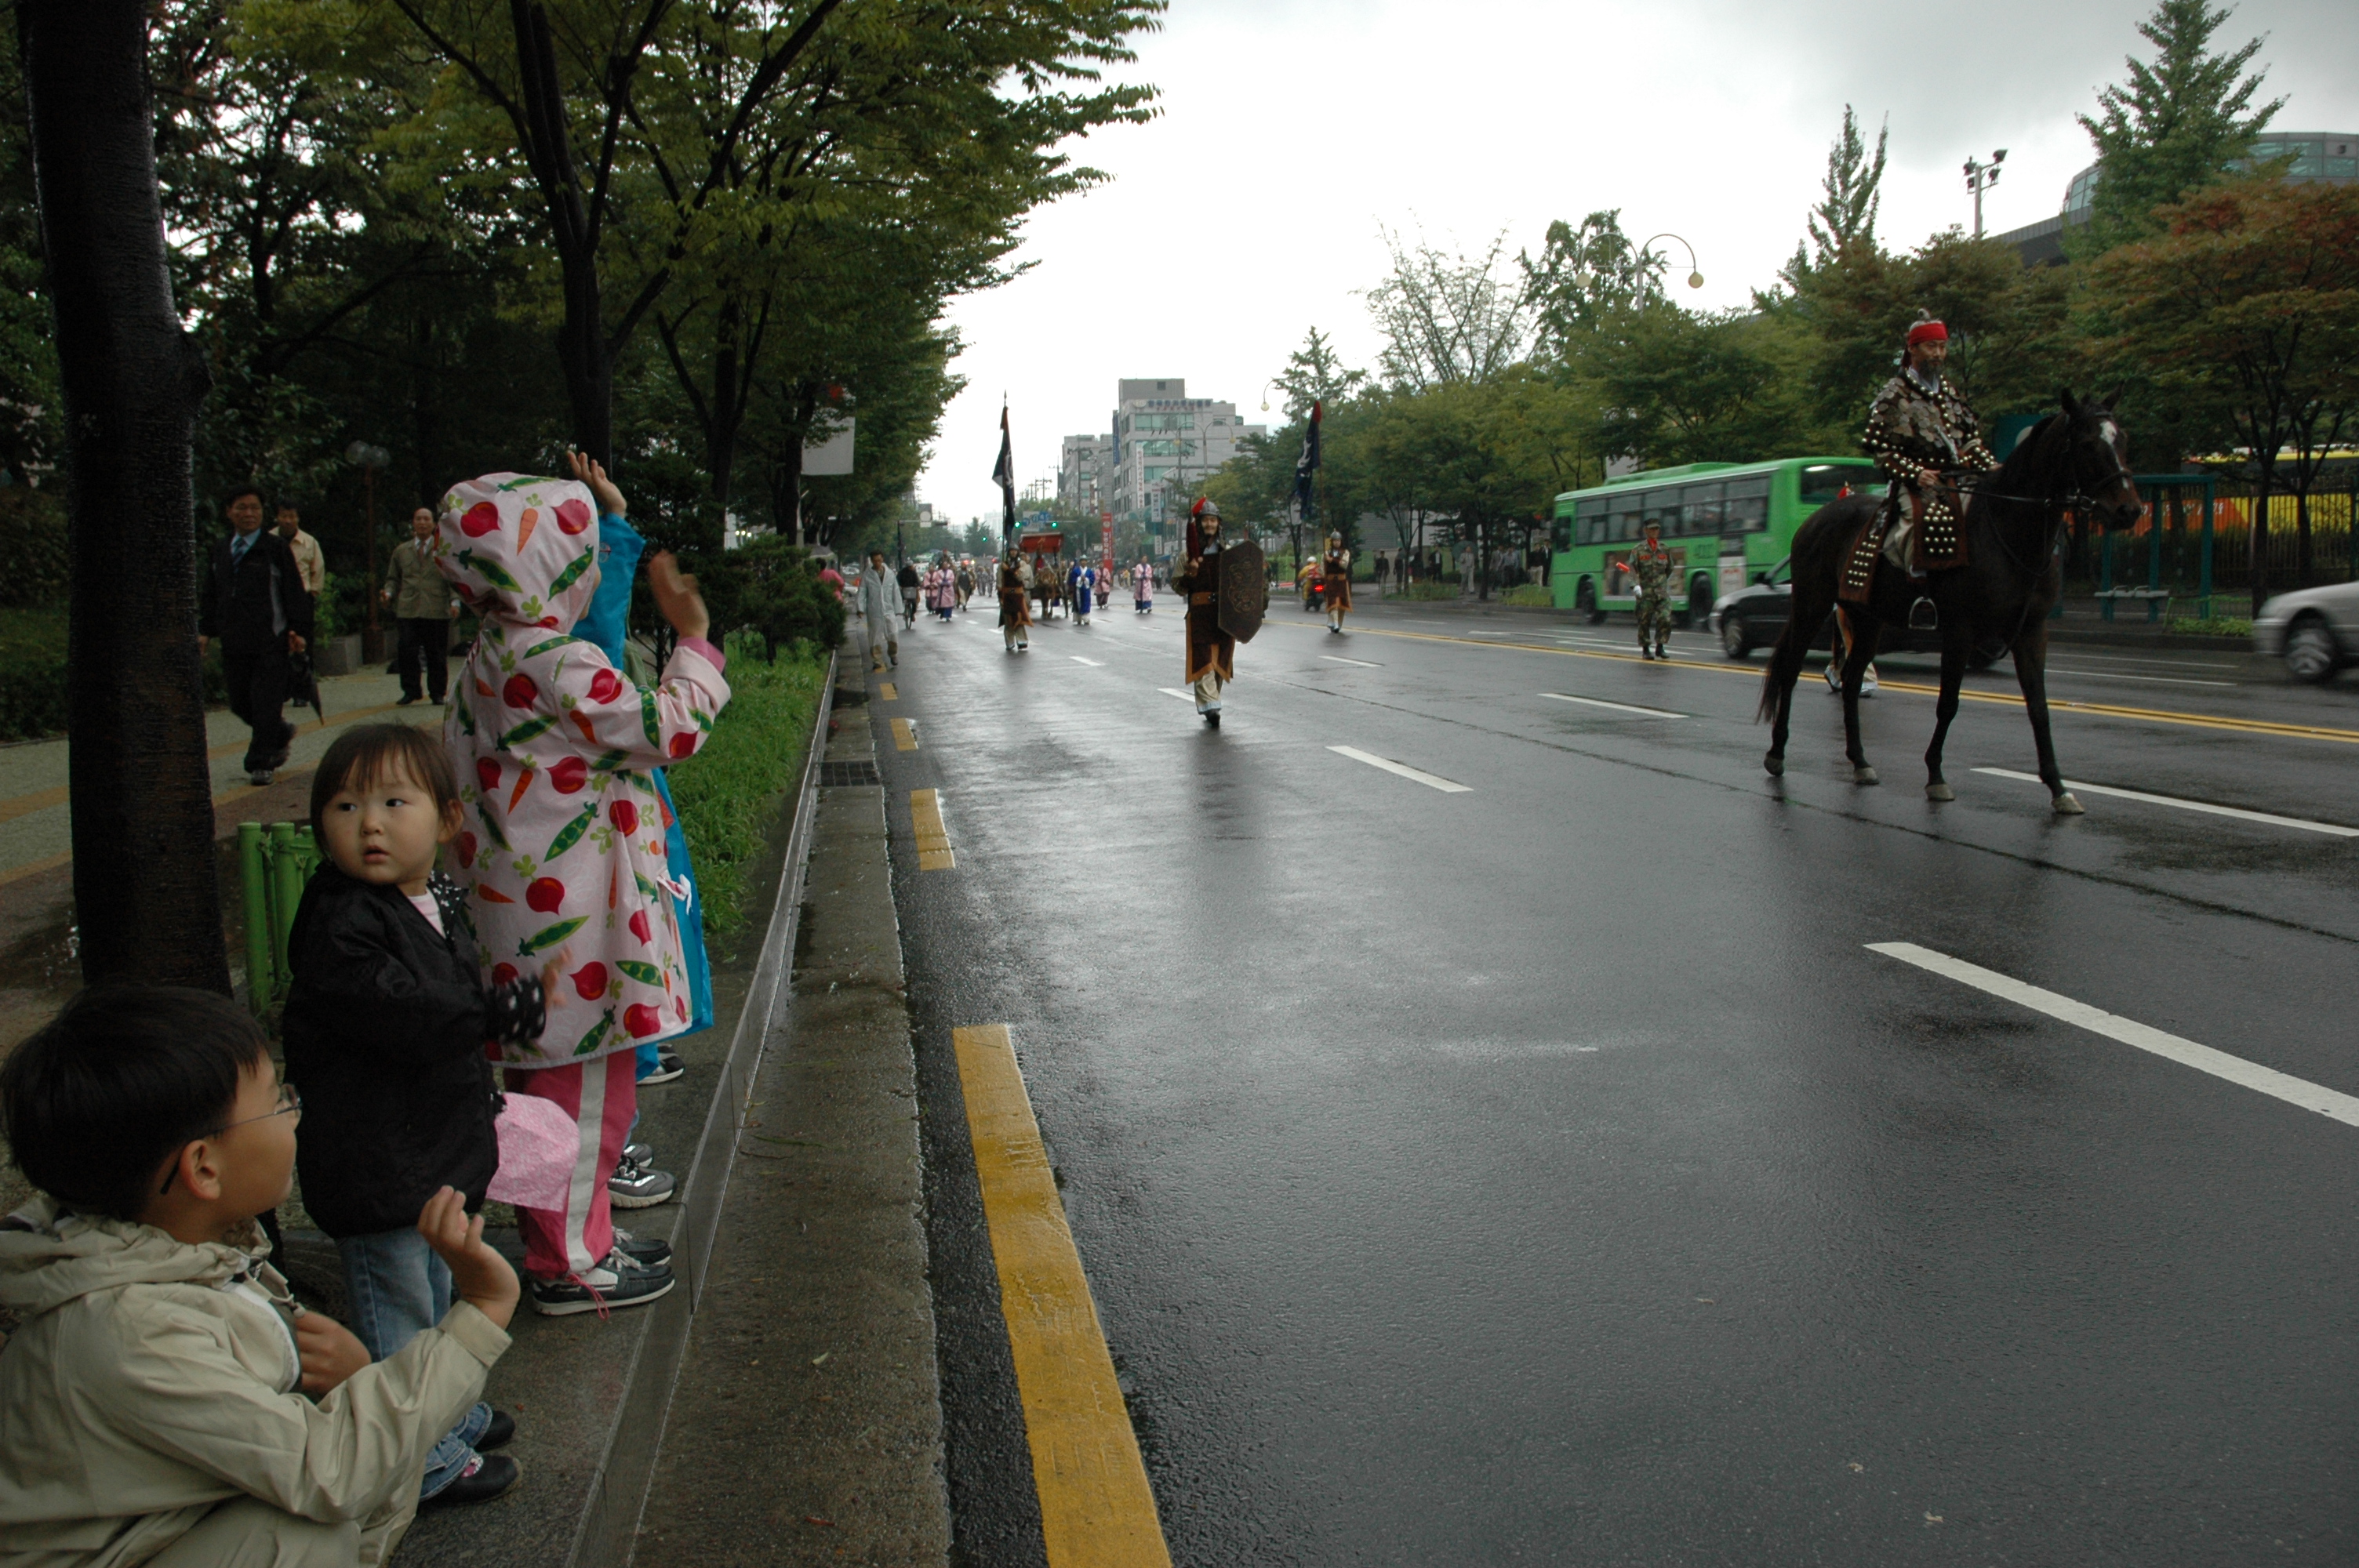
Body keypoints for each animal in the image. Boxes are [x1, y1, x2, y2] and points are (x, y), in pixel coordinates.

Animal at [1764, 391, 2151, 811]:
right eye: (2087, 444)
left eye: (2123, 440)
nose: (2129, 510)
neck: (2009, 531)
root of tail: (1815, 520)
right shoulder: (1960, 630)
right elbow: (1948, 702)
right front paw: (1935, 776)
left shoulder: (2032, 631)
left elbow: (2039, 708)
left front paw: (2058, 788)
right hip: (1812, 605)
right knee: (1791, 671)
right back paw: (1777, 754)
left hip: (1868, 619)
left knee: (1851, 682)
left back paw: (1861, 763)